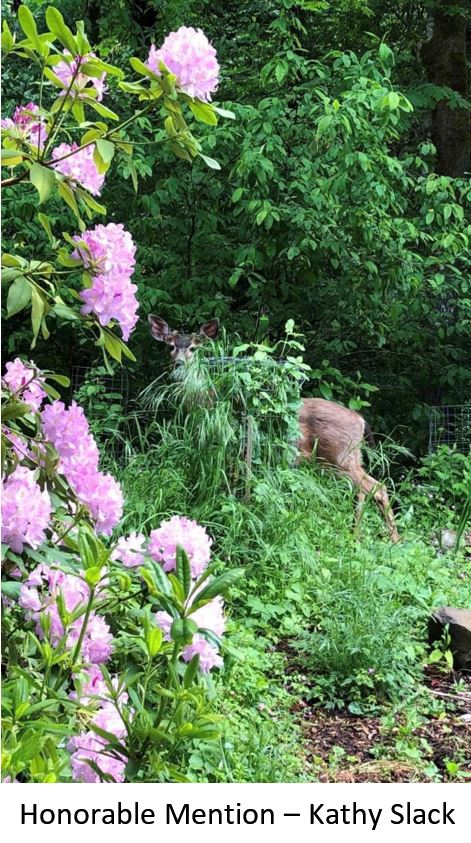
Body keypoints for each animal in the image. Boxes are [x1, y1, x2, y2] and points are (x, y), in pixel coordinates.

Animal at [148, 314, 400, 543]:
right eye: (170, 346)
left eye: (193, 348)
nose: (179, 364)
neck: (207, 403)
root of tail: (360, 419)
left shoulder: (229, 447)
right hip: (348, 458)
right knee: (364, 491)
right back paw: (358, 536)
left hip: (339, 457)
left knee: (377, 487)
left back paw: (393, 540)